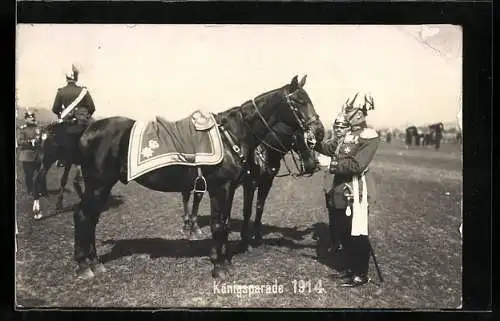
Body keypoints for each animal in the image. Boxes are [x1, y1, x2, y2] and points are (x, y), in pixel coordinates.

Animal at [73, 75, 324, 278]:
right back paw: (85, 265)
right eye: (299, 101)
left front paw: (224, 261)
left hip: (102, 186)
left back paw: (94, 262)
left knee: (91, 217)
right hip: (98, 184)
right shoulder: (221, 188)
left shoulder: (231, 188)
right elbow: (219, 225)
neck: (232, 135)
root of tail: (88, 130)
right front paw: (220, 268)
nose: (320, 132)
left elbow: (224, 223)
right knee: (84, 216)